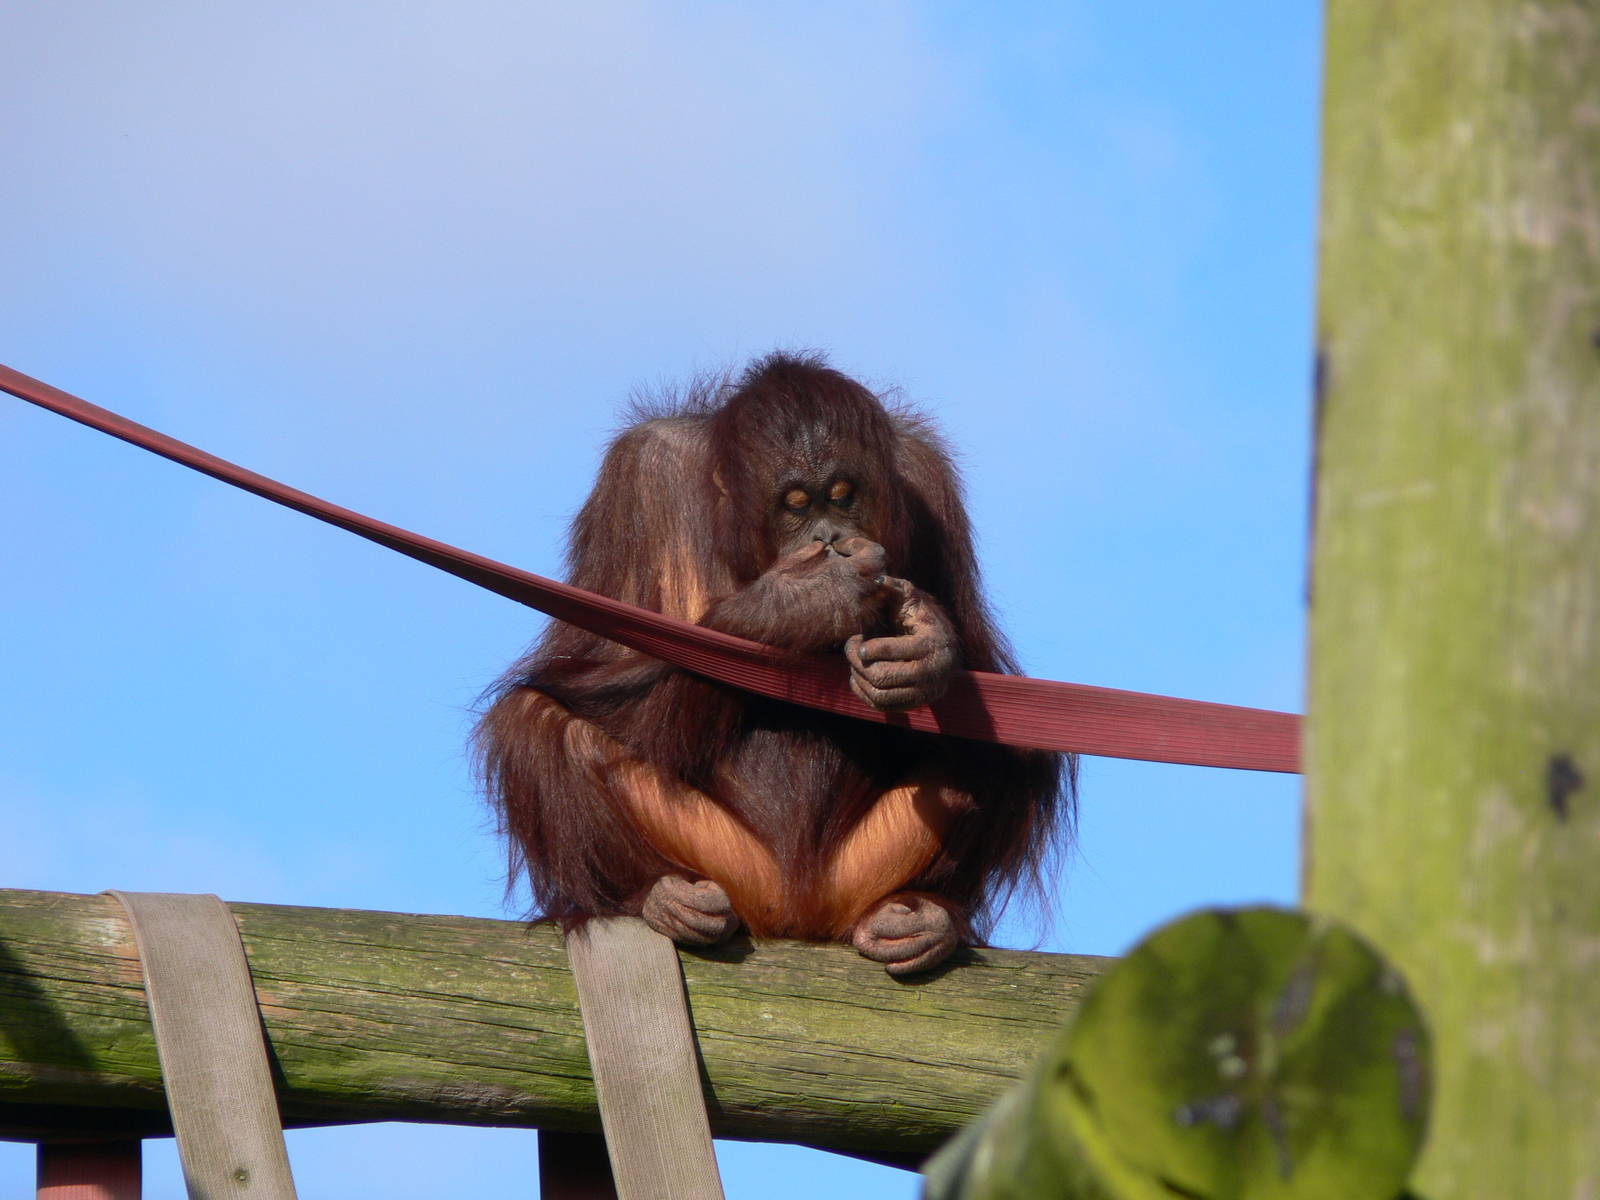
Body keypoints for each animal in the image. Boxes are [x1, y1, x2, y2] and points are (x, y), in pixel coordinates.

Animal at [476, 353, 1069, 974]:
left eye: (844, 494)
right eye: (796, 505)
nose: (830, 539)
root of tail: (799, 911)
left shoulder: (929, 476)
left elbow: (983, 671)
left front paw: (928, 645)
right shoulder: (638, 474)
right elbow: (587, 661)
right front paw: (804, 599)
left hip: (856, 870)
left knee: (1012, 743)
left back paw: (926, 917)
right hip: (727, 863)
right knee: (535, 719)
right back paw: (659, 901)